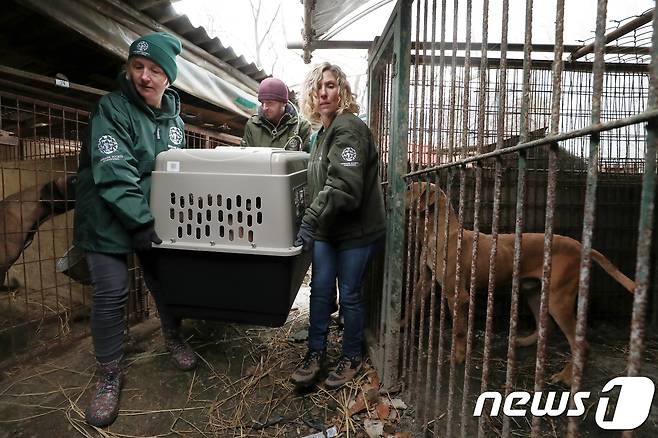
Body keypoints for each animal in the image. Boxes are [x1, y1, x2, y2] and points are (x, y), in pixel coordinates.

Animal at [408, 181, 632, 384]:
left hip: (558, 301)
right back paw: (523, 342)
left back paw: (566, 377)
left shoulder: (457, 296)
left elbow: (460, 330)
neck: (440, 232)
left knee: (581, 344)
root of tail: (580, 246)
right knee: (546, 326)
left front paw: (458, 357)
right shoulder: (424, 283)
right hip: (533, 292)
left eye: (410, 188)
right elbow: (412, 306)